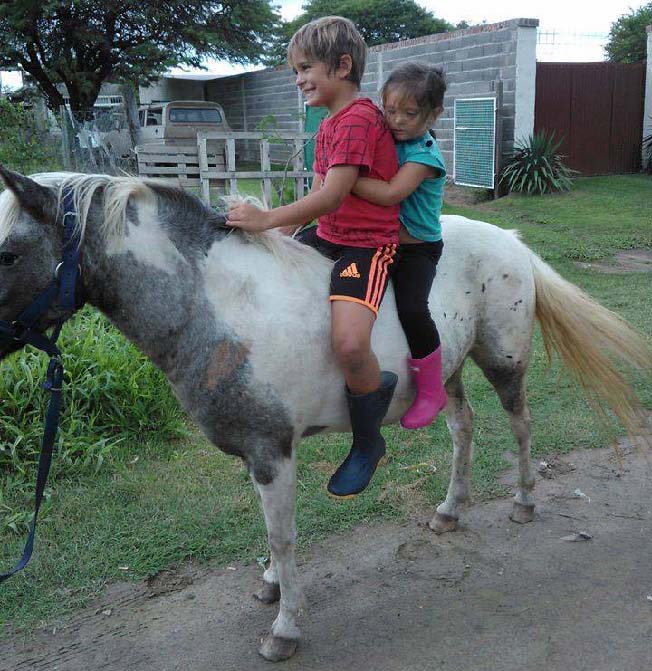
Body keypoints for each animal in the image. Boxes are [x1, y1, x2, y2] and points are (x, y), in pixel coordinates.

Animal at [0, 168, 648, 660]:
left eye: (7, 251)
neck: (219, 304)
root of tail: (510, 241)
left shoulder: (272, 451)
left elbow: (283, 536)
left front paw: (285, 626)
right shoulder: (259, 455)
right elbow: (270, 532)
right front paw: (270, 585)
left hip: (504, 361)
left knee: (520, 425)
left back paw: (524, 500)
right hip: (449, 372)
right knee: (463, 429)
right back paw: (449, 511)